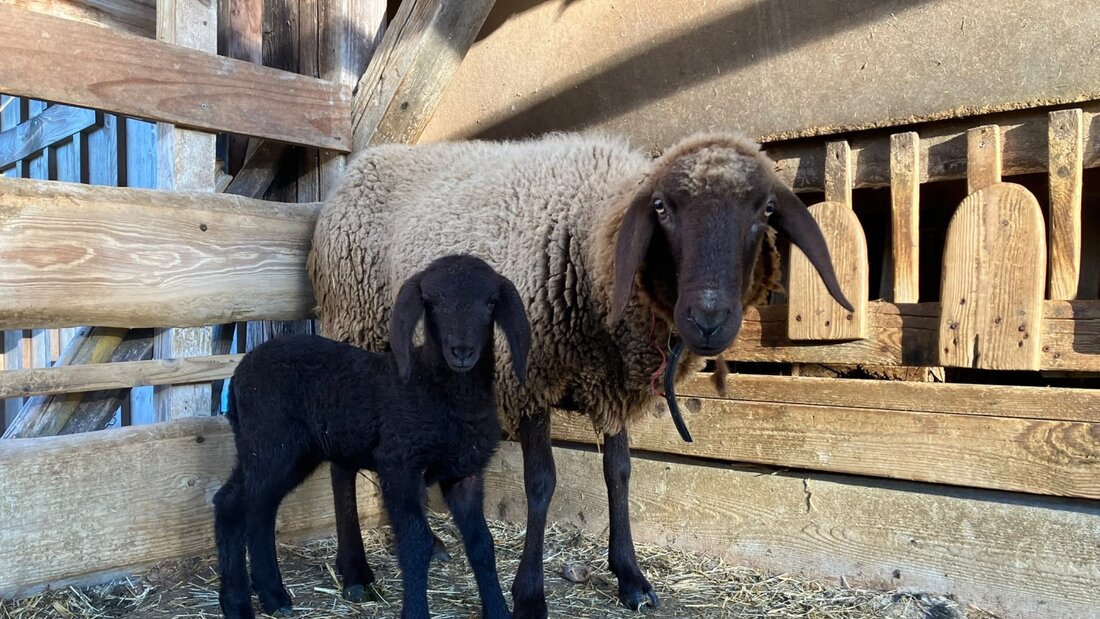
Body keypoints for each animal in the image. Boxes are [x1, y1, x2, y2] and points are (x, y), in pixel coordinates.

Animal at [213, 254, 531, 619]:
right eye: (432, 303)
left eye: (491, 302)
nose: (462, 351)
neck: (439, 389)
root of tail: (239, 371)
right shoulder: (399, 463)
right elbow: (416, 541)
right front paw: (415, 612)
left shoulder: (465, 473)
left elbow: (482, 543)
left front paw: (498, 610)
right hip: (270, 444)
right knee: (237, 504)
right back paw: (237, 602)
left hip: (280, 451)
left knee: (253, 507)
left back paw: (272, 596)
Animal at [308, 132, 853, 618]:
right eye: (661, 208)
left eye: (765, 211)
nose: (708, 319)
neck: (590, 238)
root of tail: (363, 163)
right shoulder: (529, 376)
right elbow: (541, 482)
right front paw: (529, 595)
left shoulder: (611, 383)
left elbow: (620, 473)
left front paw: (631, 578)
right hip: (354, 326)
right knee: (340, 458)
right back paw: (356, 573)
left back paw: (432, 543)